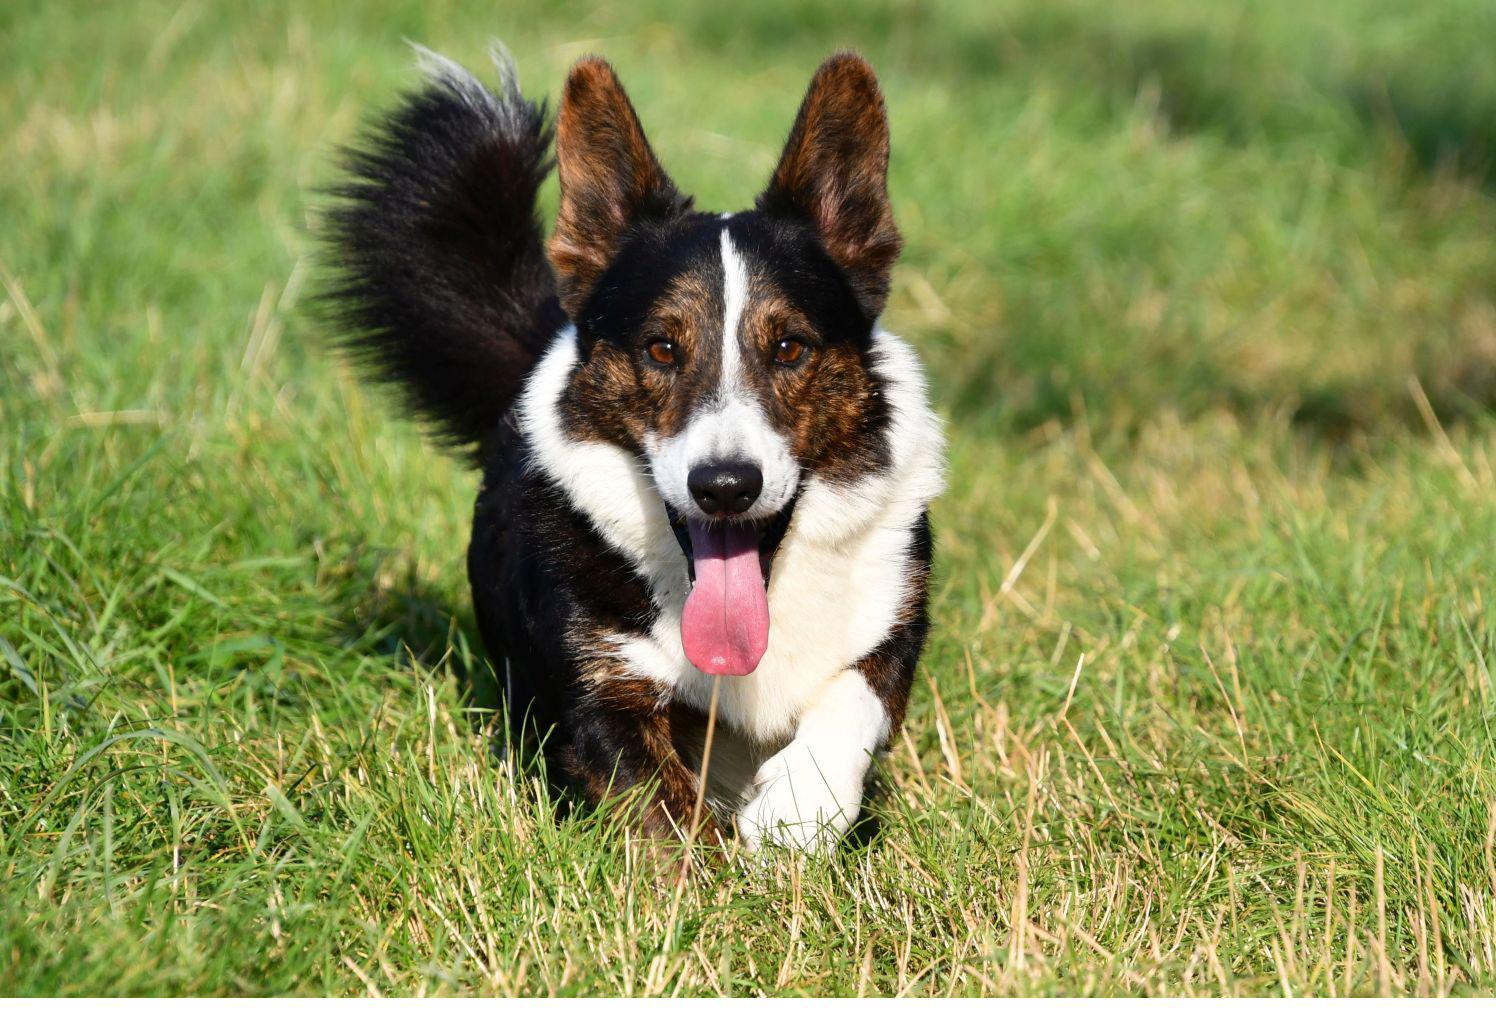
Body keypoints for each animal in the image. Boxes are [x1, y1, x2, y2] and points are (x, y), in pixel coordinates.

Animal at [321, 42, 939, 849]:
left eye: (790, 348)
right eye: (661, 348)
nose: (725, 486)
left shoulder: (893, 628)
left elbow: (858, 697)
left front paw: (799, 808)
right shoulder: (602, 707)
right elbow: (669, 824)